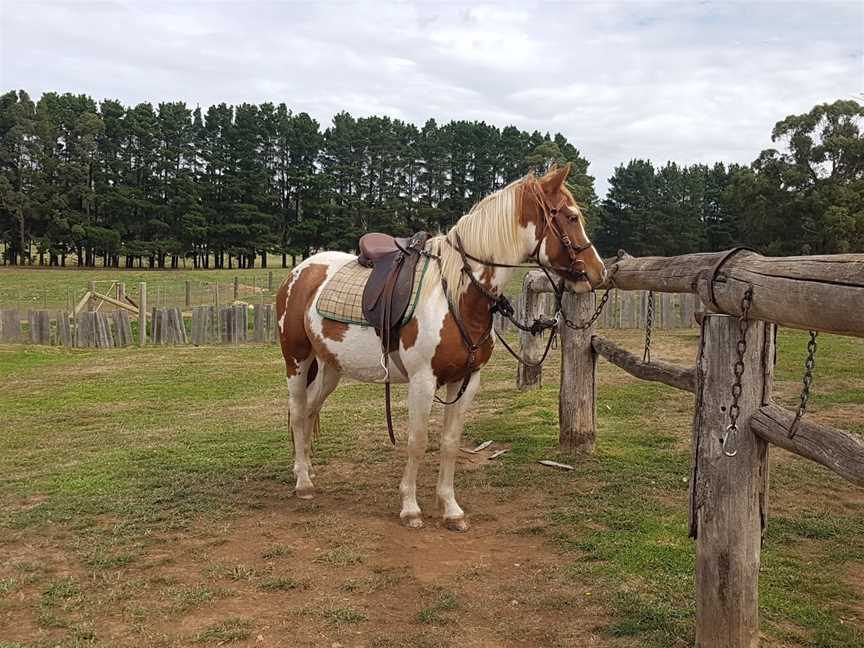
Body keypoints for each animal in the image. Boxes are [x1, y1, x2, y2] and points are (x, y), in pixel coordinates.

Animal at [276, 163, 608, 532]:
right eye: (571, 216)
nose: (598, 272)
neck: (458, 295)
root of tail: (301, 269)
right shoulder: (423, 382)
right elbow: (418, 442)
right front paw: (410, 508)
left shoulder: (466, 380)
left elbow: (450, 443)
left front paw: (451, 509)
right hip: (297, 360)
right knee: (297, 412)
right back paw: (303, 483)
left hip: (331, 368)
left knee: (309, 411)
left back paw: (306, 470)